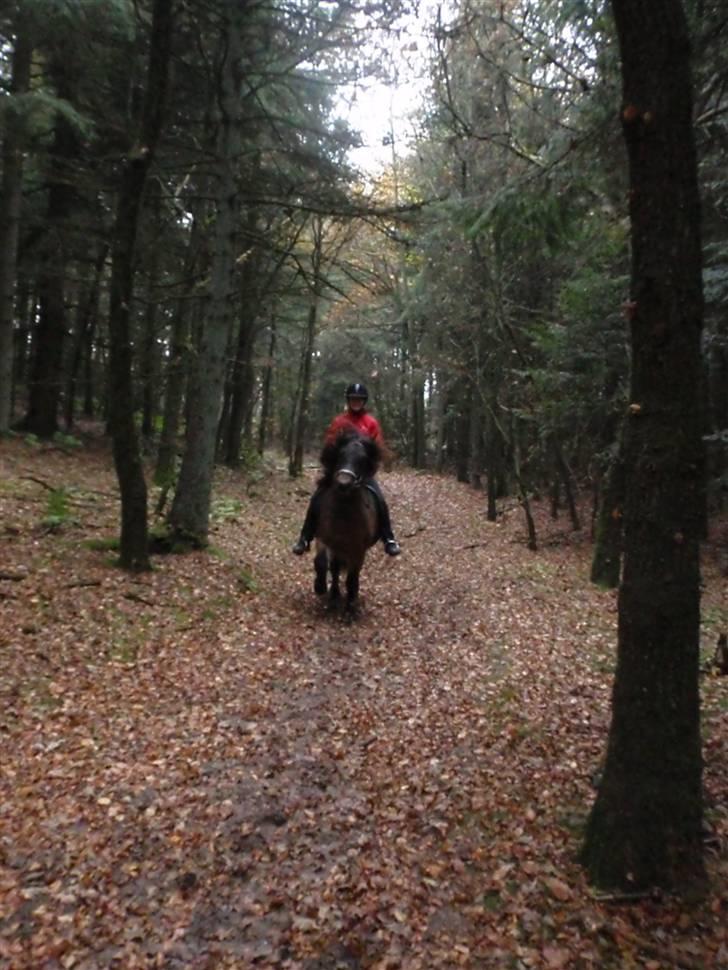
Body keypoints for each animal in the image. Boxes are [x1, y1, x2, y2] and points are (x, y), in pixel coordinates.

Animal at [312, 430, 382, 612]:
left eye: (363, 459)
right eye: (340, 454)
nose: (343, 483)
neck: (343, 514)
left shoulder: (358, 549)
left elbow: (352, 575)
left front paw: (351, 604)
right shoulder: (323, 538)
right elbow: (322, 561)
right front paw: (320, 587)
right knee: (335, 568)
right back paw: (334, 595)